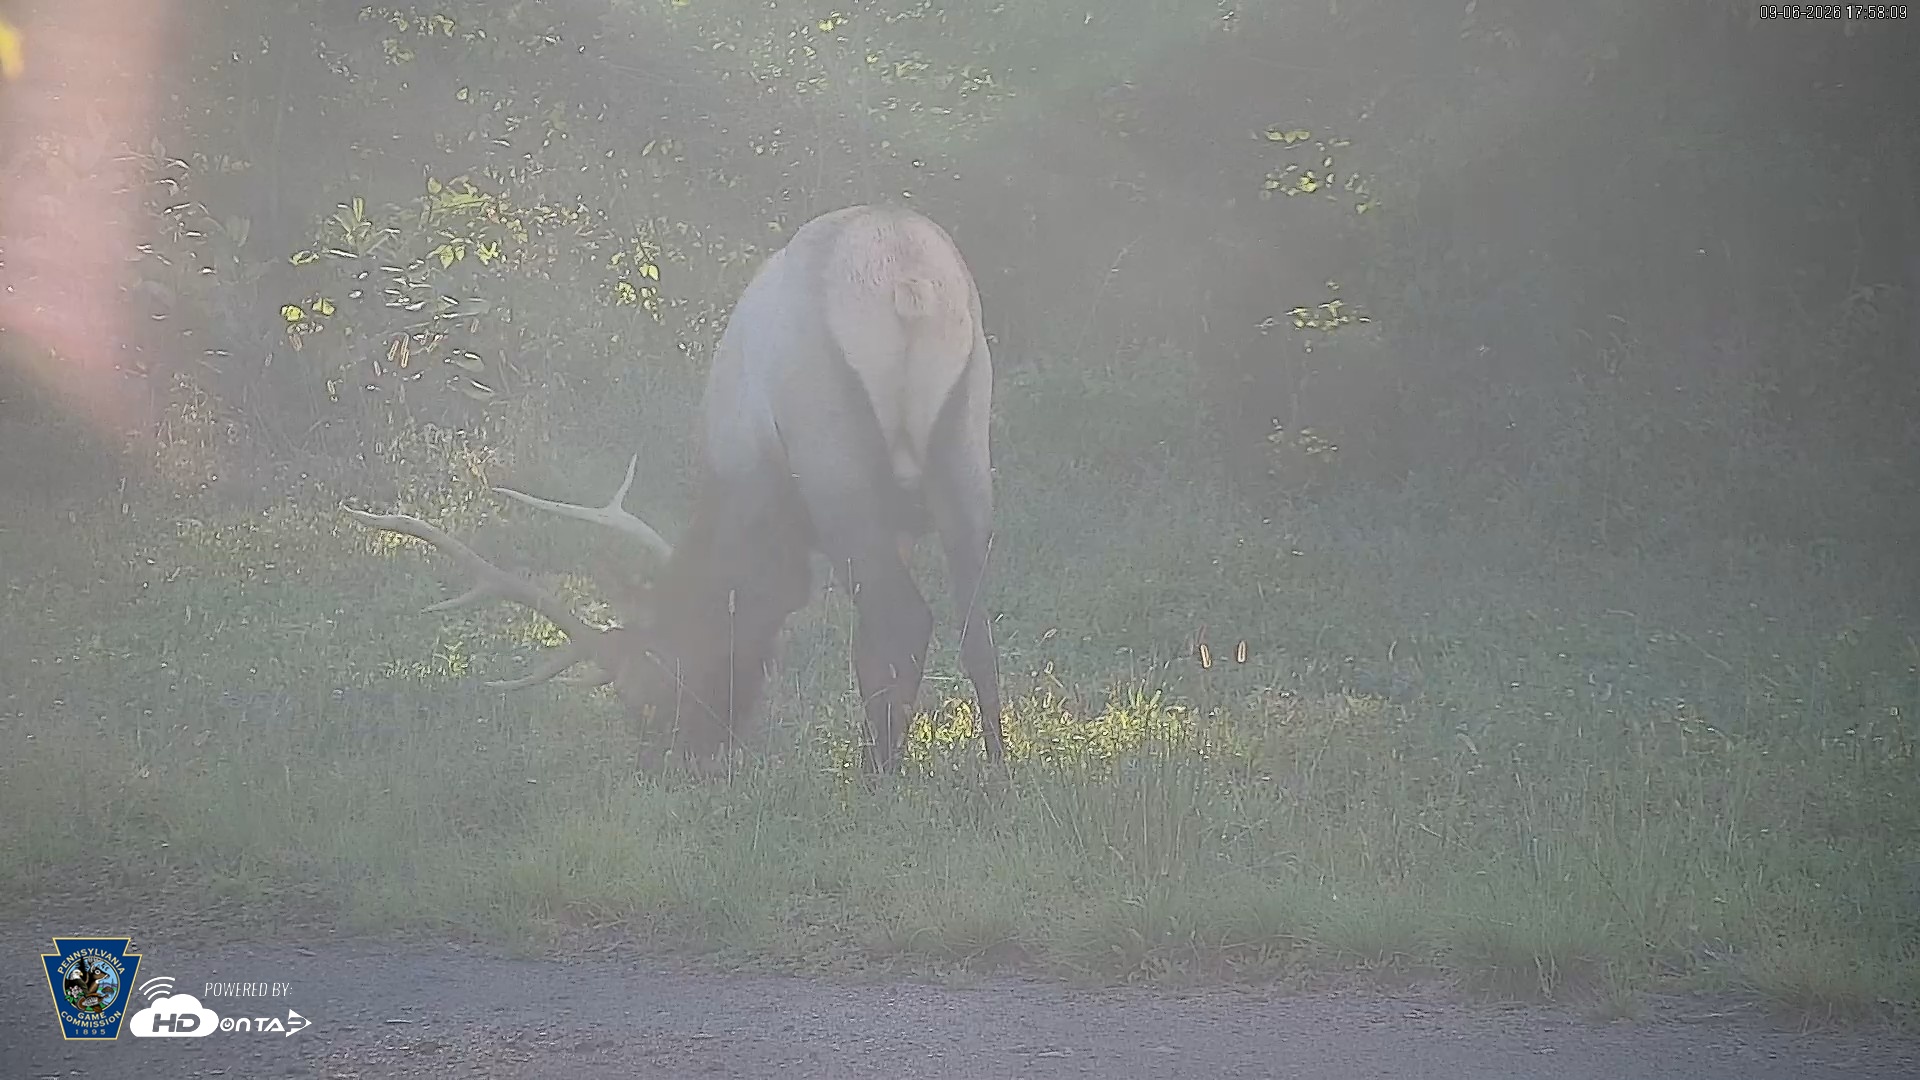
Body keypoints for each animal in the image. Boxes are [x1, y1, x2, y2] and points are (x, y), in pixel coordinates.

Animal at [343, 205, 1005, 775]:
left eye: (645, 690)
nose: (670, 758)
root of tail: (908, 284)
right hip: (967, 439)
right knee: (976, 628)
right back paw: (996, 775)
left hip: (833, 451)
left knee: (904, 619)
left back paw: (876, 778)